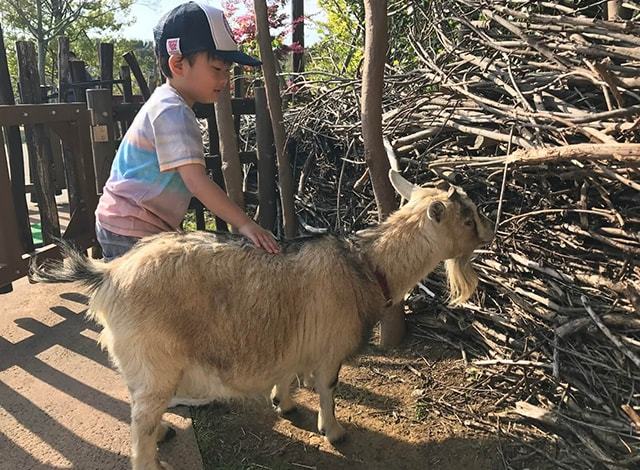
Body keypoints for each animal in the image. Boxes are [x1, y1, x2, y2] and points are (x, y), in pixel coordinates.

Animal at [32, 171, 496, 468]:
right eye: (468, 216)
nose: (491, 231)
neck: (365, 264)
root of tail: (108, 275)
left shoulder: (292, 338)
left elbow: (287, 372)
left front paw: (284, 404)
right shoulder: (330, 348)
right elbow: (328, 389)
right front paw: (334, 432)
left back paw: (164, 431)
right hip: (155, 360)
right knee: (141, 421)